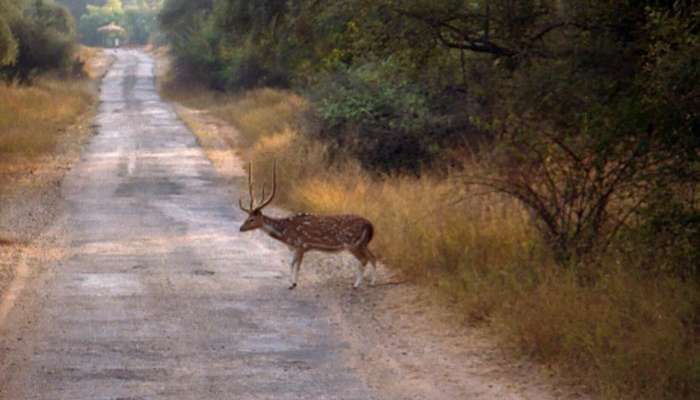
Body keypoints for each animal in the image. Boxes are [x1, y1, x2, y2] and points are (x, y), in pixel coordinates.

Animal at [238, 161, 374, 290]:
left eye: (251, 219)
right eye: (247, 217)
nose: (241, 228)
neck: (286, 234)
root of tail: (370, 225)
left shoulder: (302, 245)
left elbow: (296, 266)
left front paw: (293, 284)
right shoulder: (297, 248)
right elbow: (291, 264)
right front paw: (291, 283)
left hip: (352, 244)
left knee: (365, 259)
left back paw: (356, 285)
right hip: (362, 243)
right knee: (373, 257)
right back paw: (371, 282)